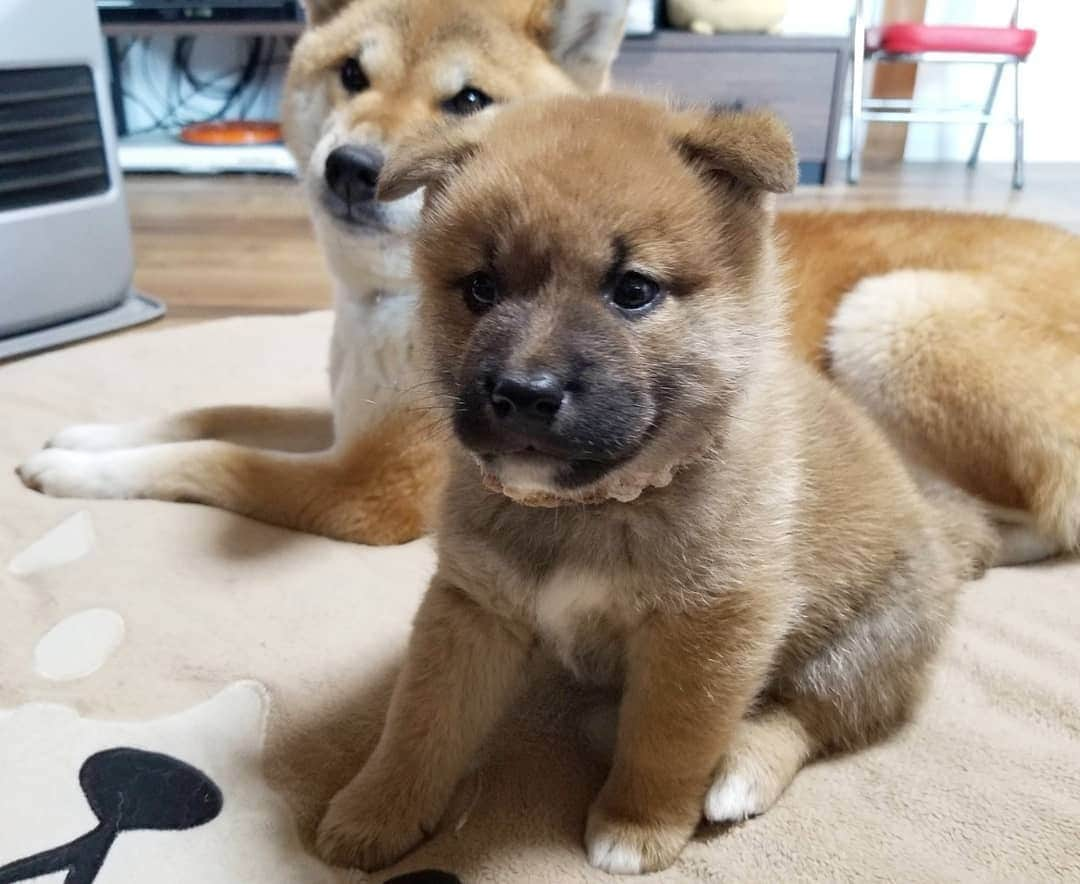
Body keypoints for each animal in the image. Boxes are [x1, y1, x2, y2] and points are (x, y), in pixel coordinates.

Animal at [308, 93, 997, 876]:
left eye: (633, 291)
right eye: (480, 288)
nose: (523, 392)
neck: (594, 507)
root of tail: (940, 529)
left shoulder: (709, 625)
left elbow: (667, 738)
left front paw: (637, 826)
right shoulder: (473, 606)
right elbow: (420, 719)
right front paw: (378, 809)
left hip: (865, 645)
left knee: (809, 717)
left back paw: (740, 770)